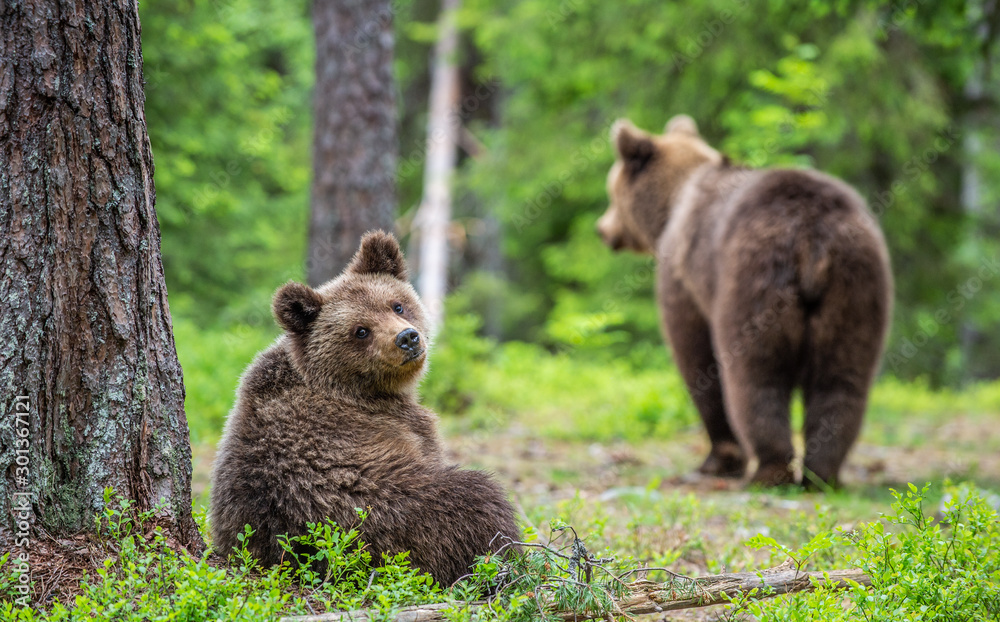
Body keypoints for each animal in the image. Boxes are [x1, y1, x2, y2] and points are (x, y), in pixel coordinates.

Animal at [209, 231, 520, 585]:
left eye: (397, 305)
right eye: (360, 330)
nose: (407, 338)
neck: (357, 390)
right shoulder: (402, 426)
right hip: (391, 515)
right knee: (479, 499)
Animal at [597, 115, 892, 488]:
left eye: (611, 192)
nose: (602, 229)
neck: (671, 206)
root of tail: (812, 235)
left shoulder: (684, 276)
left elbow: (696, 359)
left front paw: (717, 459)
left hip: (754, 280)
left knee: (755, 376)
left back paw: (769, 470)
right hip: (855, 286)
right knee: (842, 378)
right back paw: (822, 475)